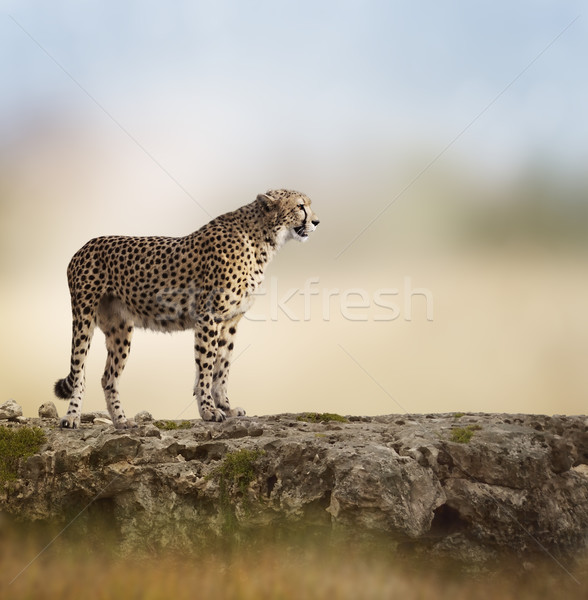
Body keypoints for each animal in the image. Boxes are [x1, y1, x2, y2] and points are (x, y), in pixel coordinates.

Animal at [54, 189, 322, 426]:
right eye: (300, 206)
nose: (316, 222)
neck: (263, 239)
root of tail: (84, 246)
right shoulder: (208, 316)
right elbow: (206, 366)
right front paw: (208, 410)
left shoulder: (230, 321)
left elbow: (222, 367)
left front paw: (225, 406)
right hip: (83, 317)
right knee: (79, 371)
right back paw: (72, 417)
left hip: (120, 328)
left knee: (108, 378)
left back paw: (121, 421)